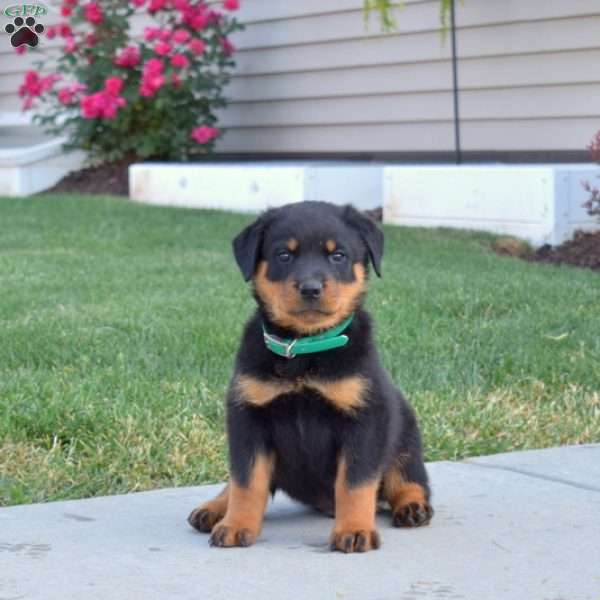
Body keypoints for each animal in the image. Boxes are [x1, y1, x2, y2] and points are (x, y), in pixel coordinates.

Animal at [188, 202, 432, 552]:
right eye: (284, 255)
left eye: (338, 255)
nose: (310, 288)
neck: (303, 349)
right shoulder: (248, 418)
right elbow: (246, 481)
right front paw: (235, 525)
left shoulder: (364, 421)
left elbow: (355, 483)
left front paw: (355, 530)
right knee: (235, 483)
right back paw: (214, 508)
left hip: (406, 439)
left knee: (409, 478)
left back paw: (412, 507)